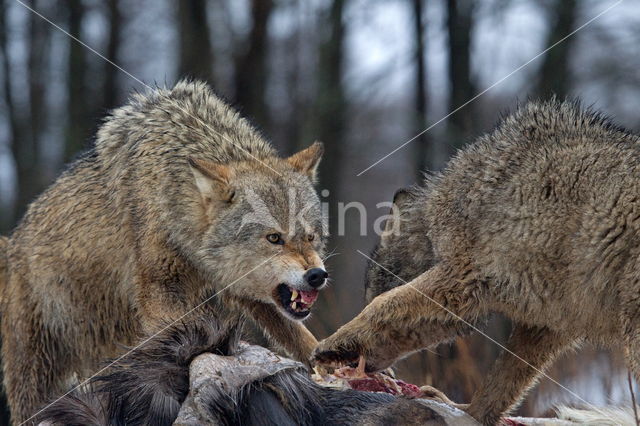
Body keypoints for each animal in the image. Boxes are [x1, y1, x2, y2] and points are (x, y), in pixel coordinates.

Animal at [0, 79, 328, 422]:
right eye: (274, 238)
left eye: (311, 237)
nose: (317, 275)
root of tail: (12, 244)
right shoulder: (160, 292)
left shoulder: (243, 293)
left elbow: (301, 337)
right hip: (36, 374)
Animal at [316, 99, 640, 422]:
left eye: (370, 293)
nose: (362, 368)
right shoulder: (545, 324)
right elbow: (502, 381)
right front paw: (468, 412)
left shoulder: (461, 278)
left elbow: (385, 305)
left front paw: (332, 343)